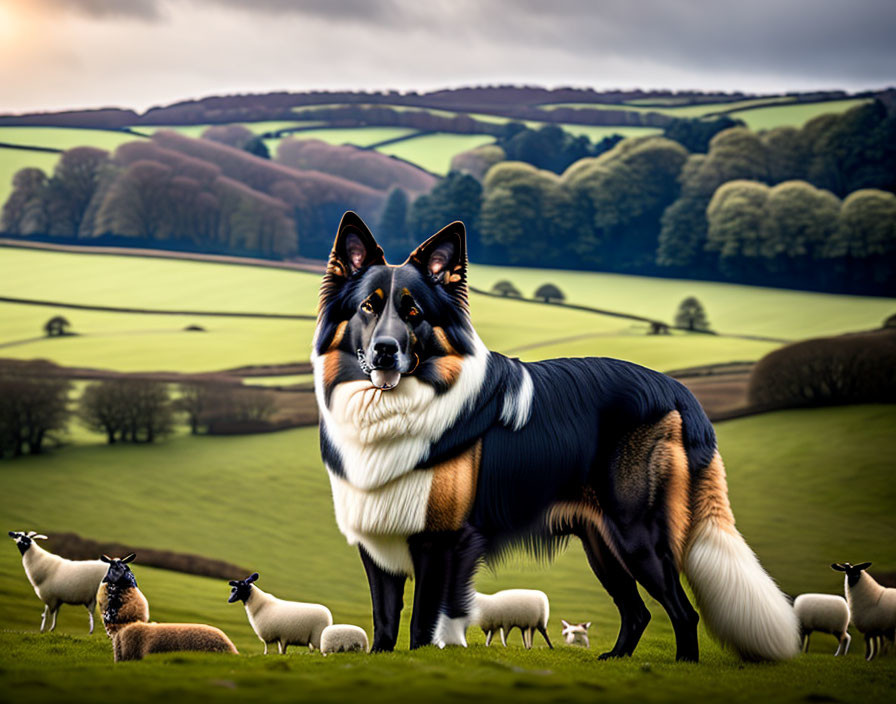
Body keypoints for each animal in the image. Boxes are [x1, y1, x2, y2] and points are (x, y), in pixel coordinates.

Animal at [314, 212, 800, 664]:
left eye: (414, 312)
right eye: (367, 307)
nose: (385, 350)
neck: (397, 408)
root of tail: (677, 390)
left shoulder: (444, 542)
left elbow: (423, 624)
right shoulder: (378, 544)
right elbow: (385, 619)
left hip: (637, 534)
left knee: (683, 611)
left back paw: (683, 665)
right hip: (602, 542)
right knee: (638, 611)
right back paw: (615, 658)